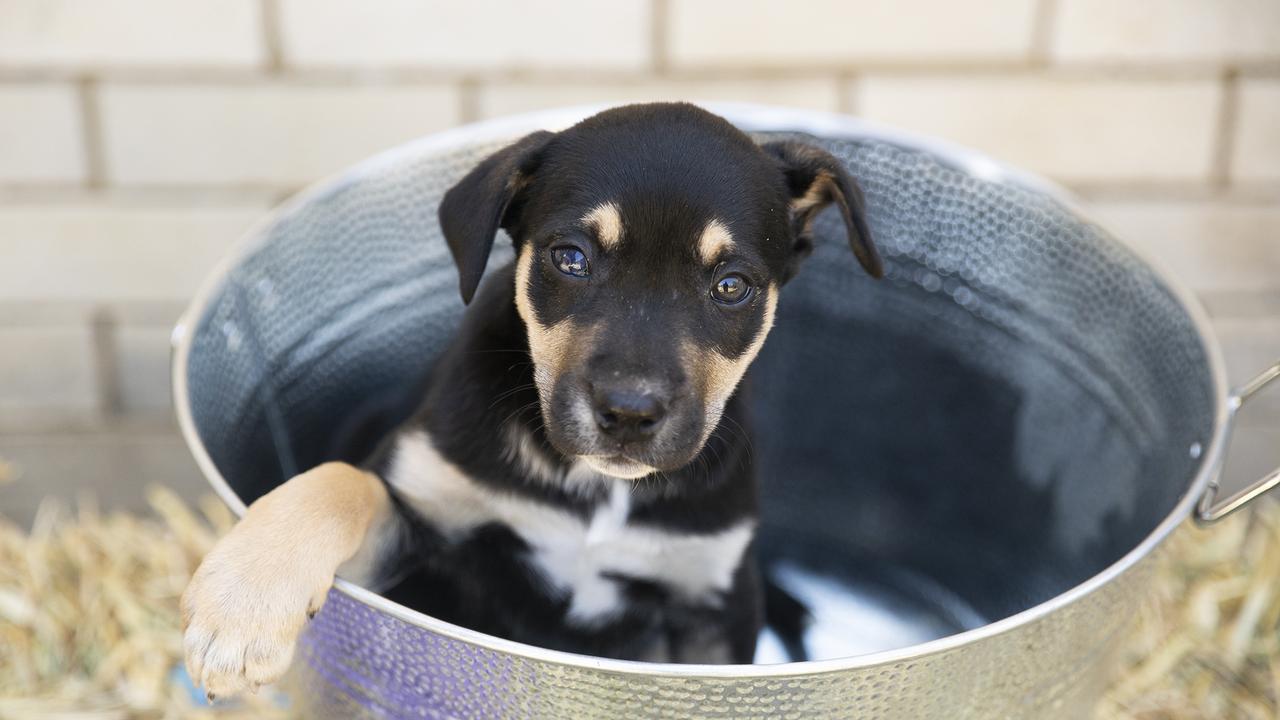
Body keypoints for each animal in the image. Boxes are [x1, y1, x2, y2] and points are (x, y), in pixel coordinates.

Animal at [183, 101, 880, 696]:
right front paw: (243, 604)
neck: (596, 490)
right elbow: (339, 483)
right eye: (570, 258)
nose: (628, 413)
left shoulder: (709, 601)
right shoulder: (423, 534)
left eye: (732, 286)